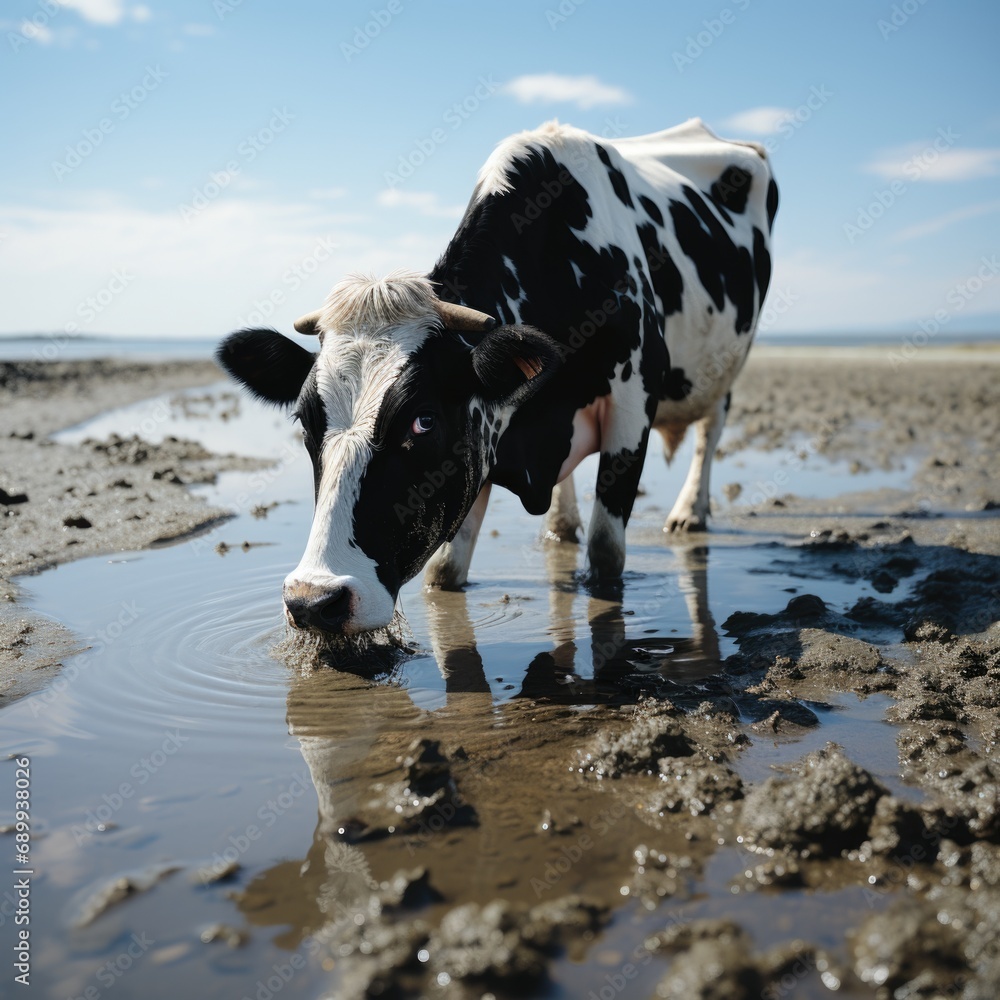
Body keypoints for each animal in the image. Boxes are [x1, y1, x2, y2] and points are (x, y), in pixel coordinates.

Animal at [221, 117, 780, 632]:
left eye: (424, 420)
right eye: (305, 422)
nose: (314, 601)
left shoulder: (633, 400)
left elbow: (606, 554)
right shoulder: (482, 442)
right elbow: (444, 573)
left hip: (729, 362)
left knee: (712, 427)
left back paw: (689, 512)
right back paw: (562, 525)